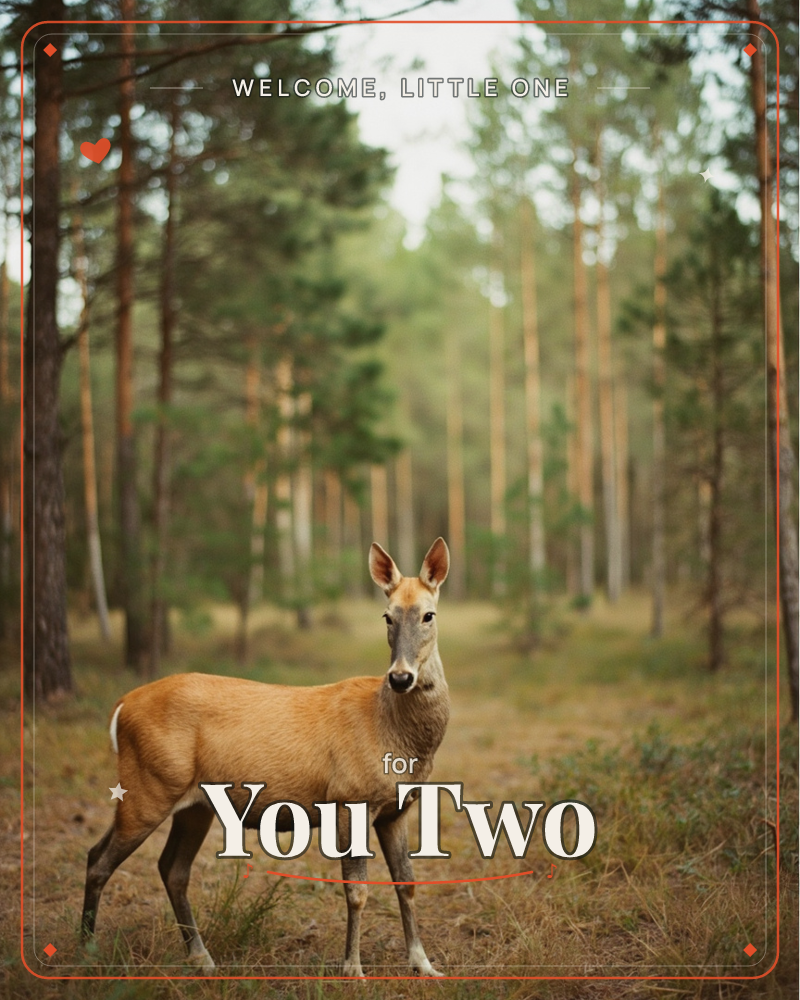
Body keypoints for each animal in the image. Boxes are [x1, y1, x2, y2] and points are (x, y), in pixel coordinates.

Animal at [81, 538, 450, 978]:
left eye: (429, 614)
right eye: (387, 616)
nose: (400, 677)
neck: (391, 729)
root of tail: (120, 707)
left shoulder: (398, 808)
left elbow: (407, 882)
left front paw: (424, 964)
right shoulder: (348, 796)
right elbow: (356, 890)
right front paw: (352, 969)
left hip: (193, 805)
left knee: (172, 869)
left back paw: (202, 959)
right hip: (147, 787)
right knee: (99, 858)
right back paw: (86, 952)